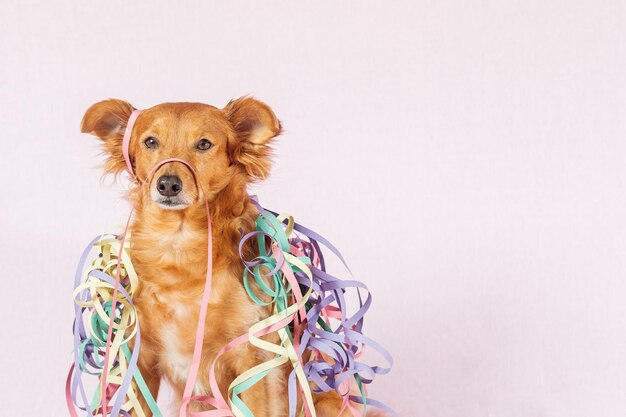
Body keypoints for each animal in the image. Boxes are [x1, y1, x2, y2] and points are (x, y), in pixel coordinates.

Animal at [80, 96, 360, 416]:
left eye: (203, 144)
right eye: (150, 141)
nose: (168, 184)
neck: (179, 245)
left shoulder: (251, 362)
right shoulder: (140, 363)